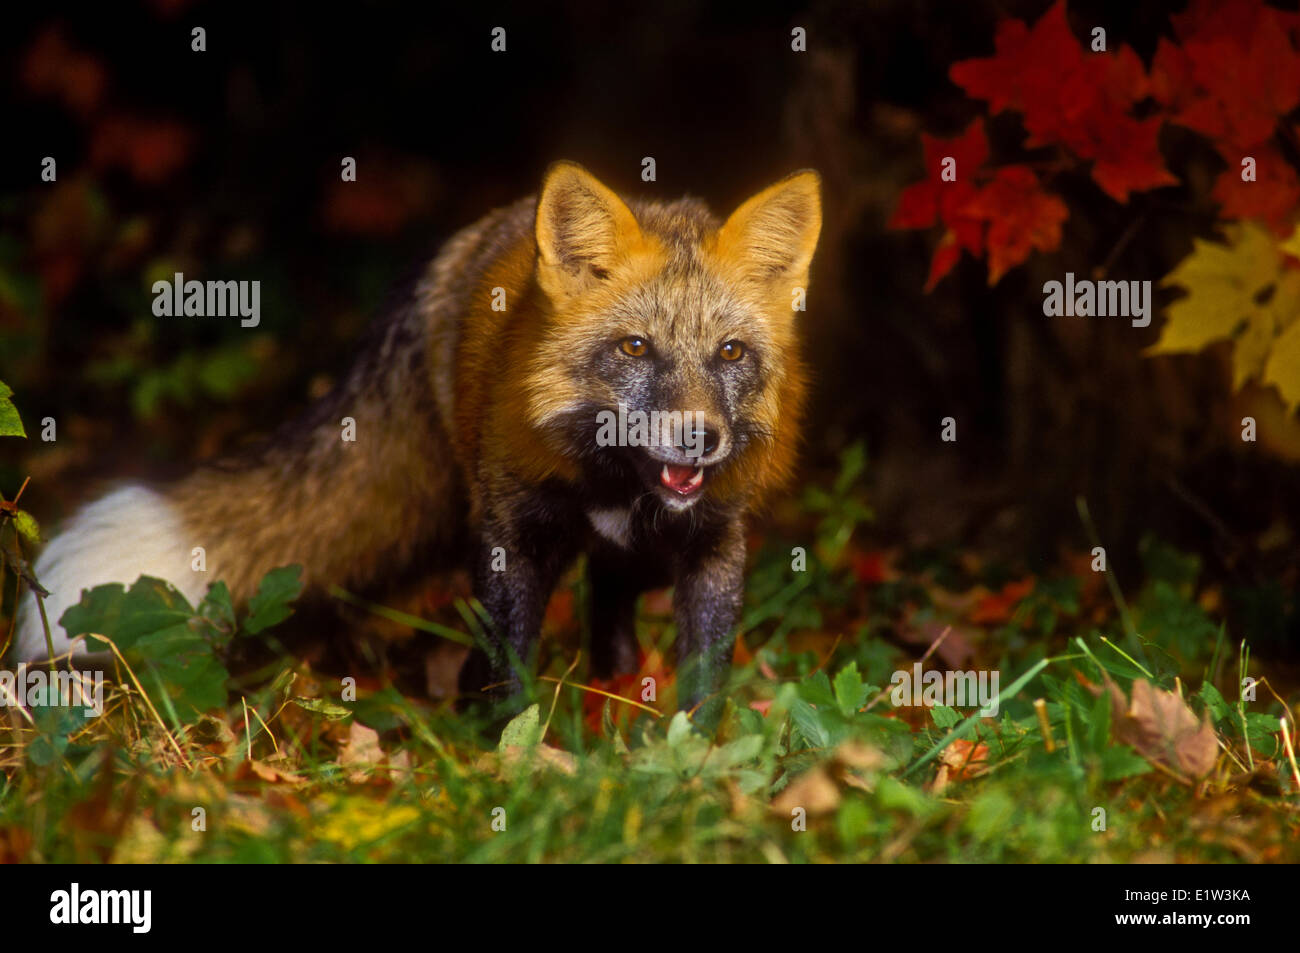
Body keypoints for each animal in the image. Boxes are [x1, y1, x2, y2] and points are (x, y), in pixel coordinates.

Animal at [14, 161, 821, 724]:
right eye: (634, 347)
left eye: (730, 353)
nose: (700, 437)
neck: (616, 483)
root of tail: (468, 240)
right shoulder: (511, 537)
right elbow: (508, 666)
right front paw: (511, 758)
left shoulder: (715, 544)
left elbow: (705, 677)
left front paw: (695, 763)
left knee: (612, 606)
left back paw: (613, 687)